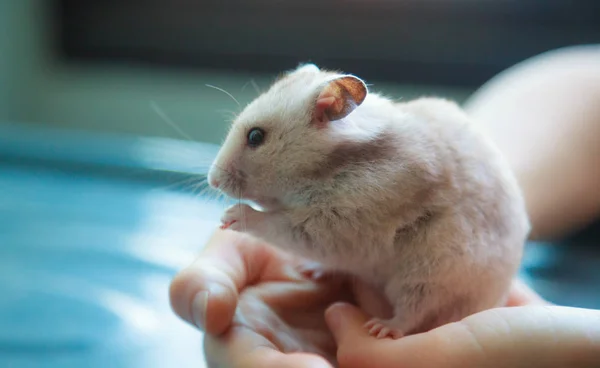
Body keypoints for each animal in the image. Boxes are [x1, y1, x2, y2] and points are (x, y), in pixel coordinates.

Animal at [206, 63, 528, 340]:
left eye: (255, 136)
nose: (212, 181)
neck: (327, 169)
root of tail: (493, 299)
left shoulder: (339, 226)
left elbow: (280, 224)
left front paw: (230, 215)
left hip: (430, 276)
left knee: (415, 313)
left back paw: (382, 328)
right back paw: (313, 271)